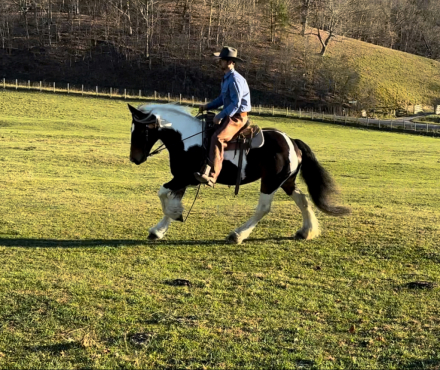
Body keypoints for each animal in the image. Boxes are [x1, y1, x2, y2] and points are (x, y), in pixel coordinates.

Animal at [128, 102, 350, 244]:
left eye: (140, 130)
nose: (134, 159)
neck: (186, 139)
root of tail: (292, 142)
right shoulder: (181, 178)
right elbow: (172, 198)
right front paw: (159, 229)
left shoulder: (185, 177)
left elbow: (162, 193)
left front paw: (173, 216)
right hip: (286, 181)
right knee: (302, 199)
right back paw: (306, 231)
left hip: (270, 182)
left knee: (263, 208)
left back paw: (238, 235)